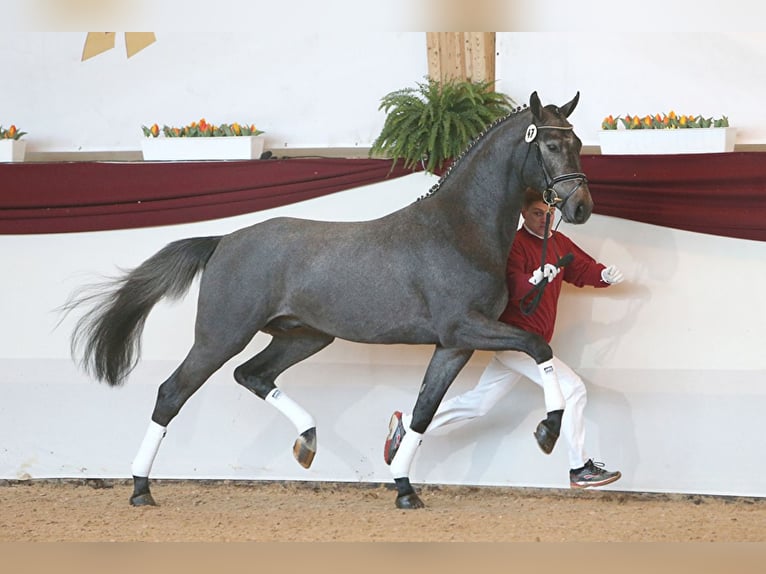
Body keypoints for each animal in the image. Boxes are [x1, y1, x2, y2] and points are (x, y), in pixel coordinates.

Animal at [66, 92, 592, 510]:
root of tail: (223, 240)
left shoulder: (453, 345)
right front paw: (548, 430)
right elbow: (538, 346)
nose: (580, 207)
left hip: (304, 337)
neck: (459, 229)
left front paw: (405, 490)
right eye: (550, 145)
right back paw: (140, 488)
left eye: (579, 144)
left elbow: (424, 410)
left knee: (253, 375)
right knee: (172, 393)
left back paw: (307, 441)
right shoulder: (464, 327)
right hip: (221, 335)